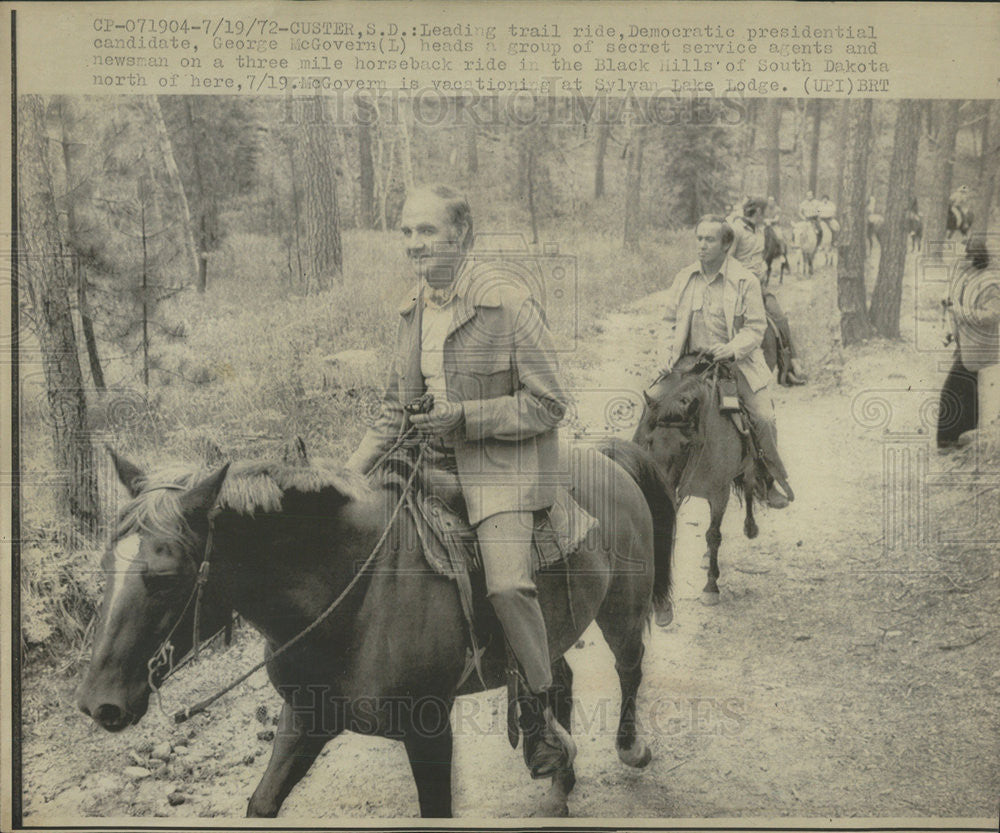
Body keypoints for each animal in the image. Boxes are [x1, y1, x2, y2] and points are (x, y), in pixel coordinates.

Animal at [76, 442, 672, 820]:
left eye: (165, 577)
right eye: (105, 565)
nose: (98, 704)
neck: (352, 596)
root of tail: (605, 455)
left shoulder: (429, 730)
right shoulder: (304, 718)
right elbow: (262, 803)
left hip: (621, 611)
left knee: (630, 667)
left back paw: (631, 749)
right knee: (558, 679)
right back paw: (557, 782)